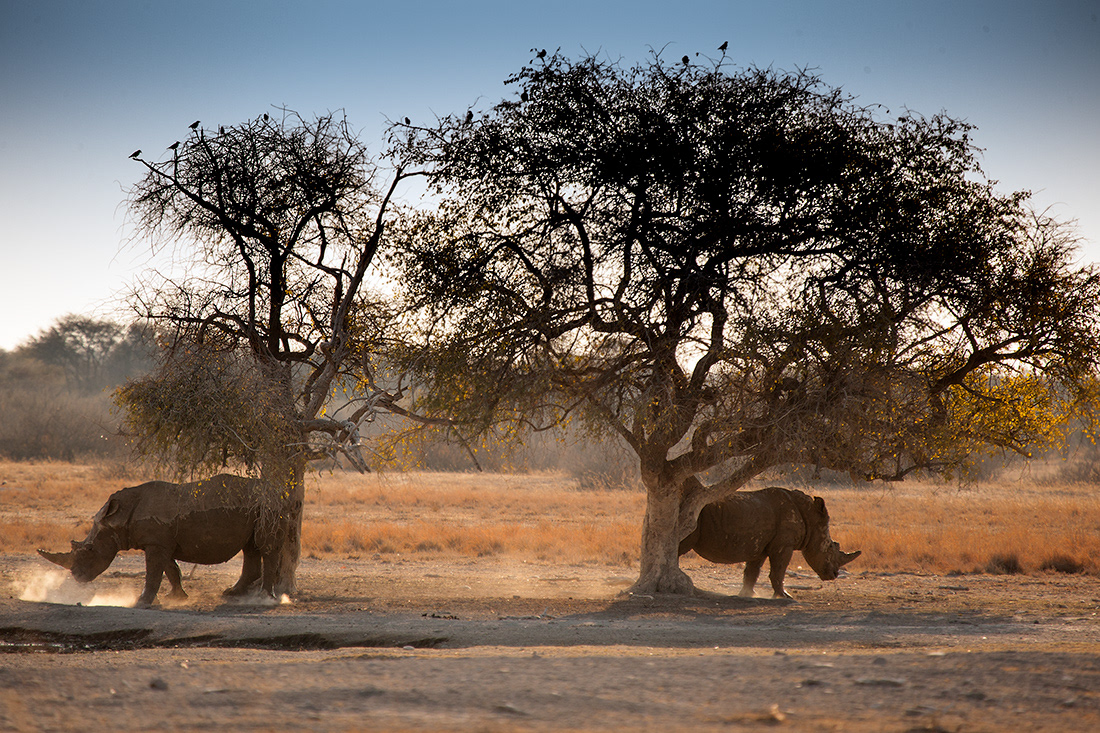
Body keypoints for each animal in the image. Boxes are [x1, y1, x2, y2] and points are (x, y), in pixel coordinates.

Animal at [38, 474, 278, 608]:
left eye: (89, 549)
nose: (77, 576)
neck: (120, 515)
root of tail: (277, 490)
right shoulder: (161, 543)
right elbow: (171, 569)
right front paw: (178, 598)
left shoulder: (155, 543)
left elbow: (154, 573)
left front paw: (141, 602)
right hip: (255, 507)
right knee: (250, 547)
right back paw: (233, 593)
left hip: (266, 506)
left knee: (265, 547)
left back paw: (264, 598)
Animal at [678, 486, 860, 599]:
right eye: (830, 547)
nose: (834, 575)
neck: (810, 517)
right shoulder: (784, 545)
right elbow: (778, 571)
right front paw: (784, 596)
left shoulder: (759, 545)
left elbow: (752, 572)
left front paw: (747, 594)